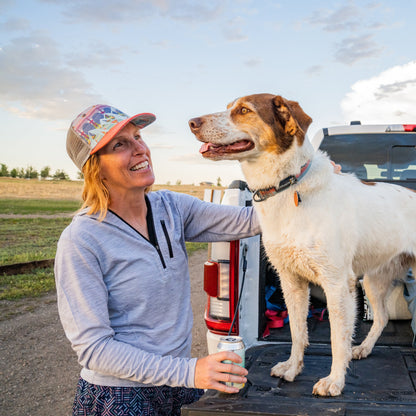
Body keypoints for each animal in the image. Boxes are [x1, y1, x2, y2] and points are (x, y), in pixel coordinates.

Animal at [189, 93, 416, 396]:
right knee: (381, 318)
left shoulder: (336, 283)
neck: (288, 185)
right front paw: (292, 368)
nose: (192, 122)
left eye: (244, 110)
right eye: (229, 107)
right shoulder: (291, 280)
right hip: (374, 279)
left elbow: (337, 339)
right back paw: (364, 349)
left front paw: (334, 381)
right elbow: (298, 332)